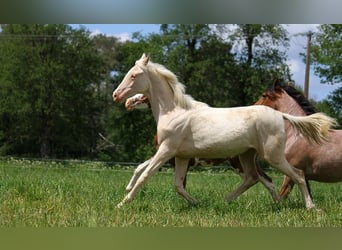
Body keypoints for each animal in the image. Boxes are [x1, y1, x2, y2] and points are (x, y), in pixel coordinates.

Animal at [113, 53, 336, 210]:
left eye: (134, 75)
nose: (118, 96)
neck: (174, 112)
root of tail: (279, 115)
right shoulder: (181, 157)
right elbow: (177, 184)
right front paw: (197, 203)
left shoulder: (166, 150)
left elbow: (146, 174)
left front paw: (122, 203)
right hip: (246, 156)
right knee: (253, 178)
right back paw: (233, 201)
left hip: (272, 155)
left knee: (297, 175)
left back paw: (310, 207)